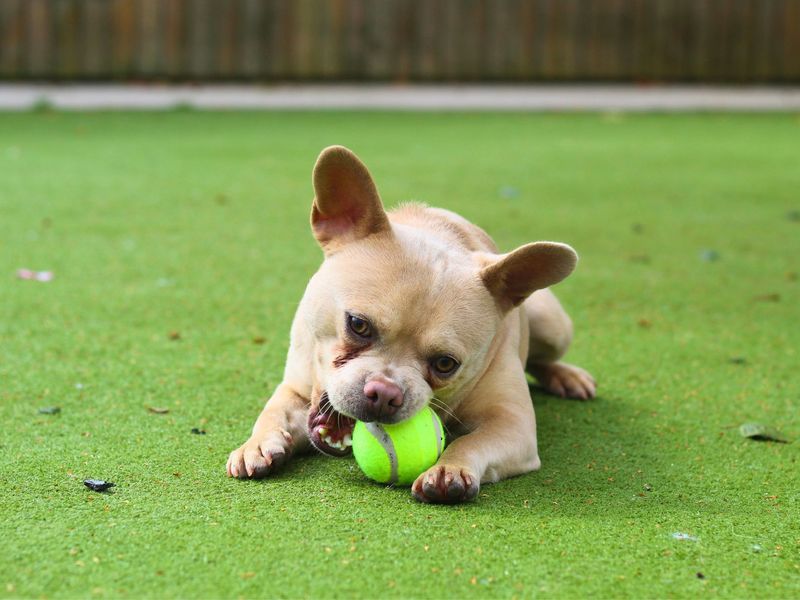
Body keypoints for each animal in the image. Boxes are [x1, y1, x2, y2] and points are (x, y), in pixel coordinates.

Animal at [225, 145, 592, 502]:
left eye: (445, 364)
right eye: (358, 325)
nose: (384, 393)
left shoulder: (512, 425)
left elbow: (471, 441)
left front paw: (450, 468)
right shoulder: (296, 387)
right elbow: (274, 410)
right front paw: (258, 442)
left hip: (554, 326)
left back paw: (567, 376)